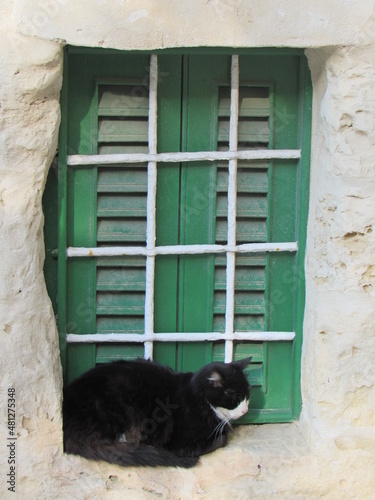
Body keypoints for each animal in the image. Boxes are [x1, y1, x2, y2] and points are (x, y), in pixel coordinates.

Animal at [64, 356, 253, 468]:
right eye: (235, 397)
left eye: (247, 395)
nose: (245, 409)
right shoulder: (180, 443)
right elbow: (221, 440)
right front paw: (222, 436)